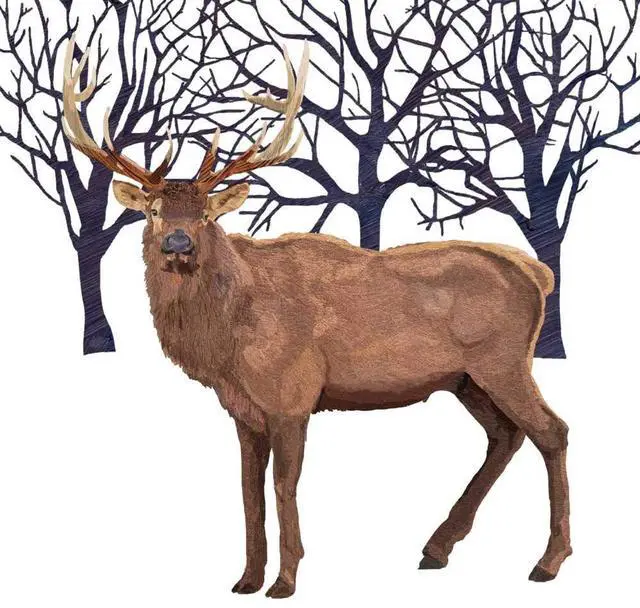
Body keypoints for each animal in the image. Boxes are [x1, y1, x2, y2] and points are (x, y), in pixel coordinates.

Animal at [62, 37, 571, 598]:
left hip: (503, 360)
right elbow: (247, 490)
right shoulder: (242, 409)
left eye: (206, 214)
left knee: (552, 431)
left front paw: (285, 580)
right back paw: (437, 548)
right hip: (465, 379)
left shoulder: (293, 393)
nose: (178, 242)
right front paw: (246, 578)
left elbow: (283, 485)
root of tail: (538, 273)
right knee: (505, 436)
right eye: (152, 210)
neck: (226, 345)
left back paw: (547, 561)